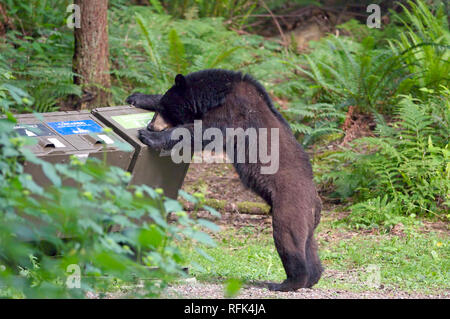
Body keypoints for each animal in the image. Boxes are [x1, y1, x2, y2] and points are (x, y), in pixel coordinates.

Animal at [126, 70, 324, 292]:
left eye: (164, 110)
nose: (151, 125)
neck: (220, 93)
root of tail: (316, 203)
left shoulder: (231, 114)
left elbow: (199, 131)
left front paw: (149, 136)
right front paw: (137, 97)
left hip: (289, 206)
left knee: (287, 239)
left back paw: (286, 282)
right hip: (306, 219)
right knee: (308, 245)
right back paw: (313, 277)